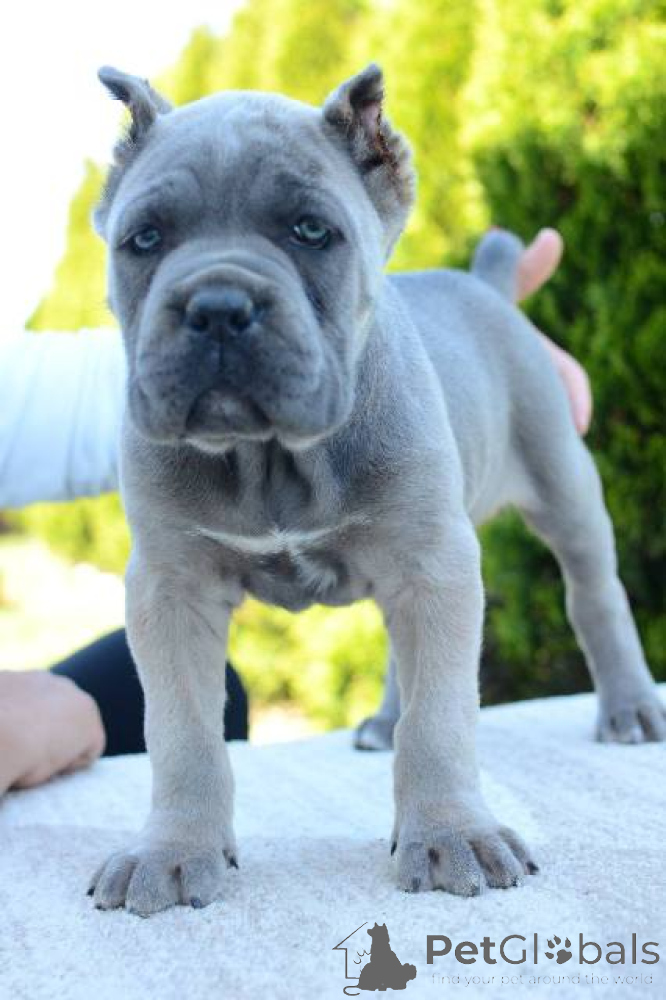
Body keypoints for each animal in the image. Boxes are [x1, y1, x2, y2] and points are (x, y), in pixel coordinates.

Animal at [88, 63, 665, 916]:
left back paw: (630, 708)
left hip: (563, 486)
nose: (218, 307)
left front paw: (452, 834)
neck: (270, 456)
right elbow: (182, 731)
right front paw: (173, 850)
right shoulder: (170, 587)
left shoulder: (435, 564)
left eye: (310, 231)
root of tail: (486, 286)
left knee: (595, 595)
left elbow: (442, 719)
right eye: (145, 240)